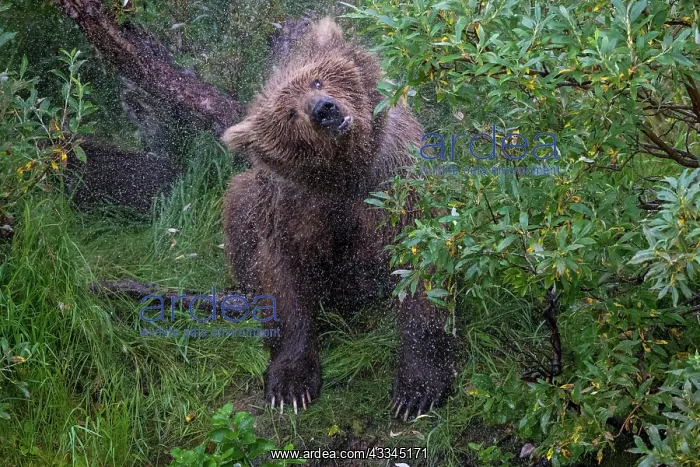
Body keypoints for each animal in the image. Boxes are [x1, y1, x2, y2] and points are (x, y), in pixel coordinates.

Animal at [220, 17, 456, 420]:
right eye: (288, 113)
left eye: (316, 81)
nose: (323, 109)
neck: (346, 172)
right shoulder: (295, 208)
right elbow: (284, 279)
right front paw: (290, 385)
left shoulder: (392, 178)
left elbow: (420, 268)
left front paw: (416, 390)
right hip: (245, 201)